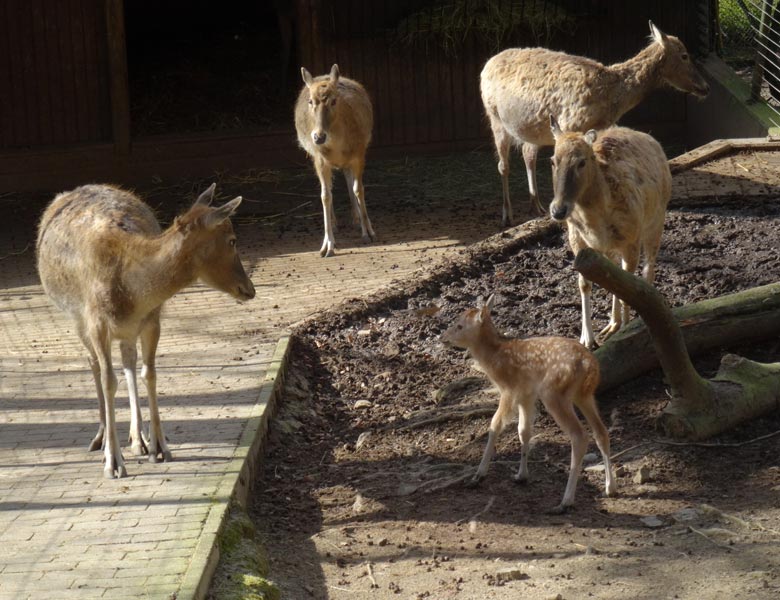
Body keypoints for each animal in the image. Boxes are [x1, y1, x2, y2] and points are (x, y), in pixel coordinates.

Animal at [36, 183, 256, 478]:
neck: (132, 292)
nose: (250, 289)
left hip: (127, 330)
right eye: (232, 240)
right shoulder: (96, 323)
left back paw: (138, 437)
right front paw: (113, 463)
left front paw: (160, 447)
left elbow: (148, 374)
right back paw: (102, 437)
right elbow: (108, 380)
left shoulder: (152, 320)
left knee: (128, 361)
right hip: (76, 318)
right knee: (93, 363)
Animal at [296, 63, 374, 255]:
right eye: (310, 101)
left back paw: (357, 220)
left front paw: (368, 232)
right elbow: (325, 195)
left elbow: (358, 189)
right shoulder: (319, 159)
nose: (318, 136)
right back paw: (336, 223)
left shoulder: (359, 153)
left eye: (333, 100)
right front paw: (327, 245)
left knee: (349, 179)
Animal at [438, 292, 616, 512]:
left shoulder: (509, 389)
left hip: (554, 393)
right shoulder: (526, 393)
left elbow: (495, 425)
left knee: (579, 436)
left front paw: (478, 475)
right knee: (601, 432)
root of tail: (589, 365)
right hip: (585, 395)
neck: (494, 359)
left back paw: (565, 502)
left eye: (460, 325)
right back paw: (610, 488)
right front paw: (521, 475)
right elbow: (524, 430)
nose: (442, 338)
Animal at [482, 20, 708, 225]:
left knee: (528, 154)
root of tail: (486, 66)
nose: (705, 87)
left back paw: (536, 206)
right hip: (495, 118)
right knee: (504, 164)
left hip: (532, 129)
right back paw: (507, 215)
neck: (611, 96)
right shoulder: (569, 124)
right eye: (684, 55)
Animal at [548, 116, 672, 350]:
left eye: (582, 162)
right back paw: (612, 324)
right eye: (553, 160)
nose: (558, 210)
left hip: (656, 220)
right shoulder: (577, 240)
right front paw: (587, 339)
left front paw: (626, 330)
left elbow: (629, 288)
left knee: (648, 270)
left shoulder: (631, 239)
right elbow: (585, 284)